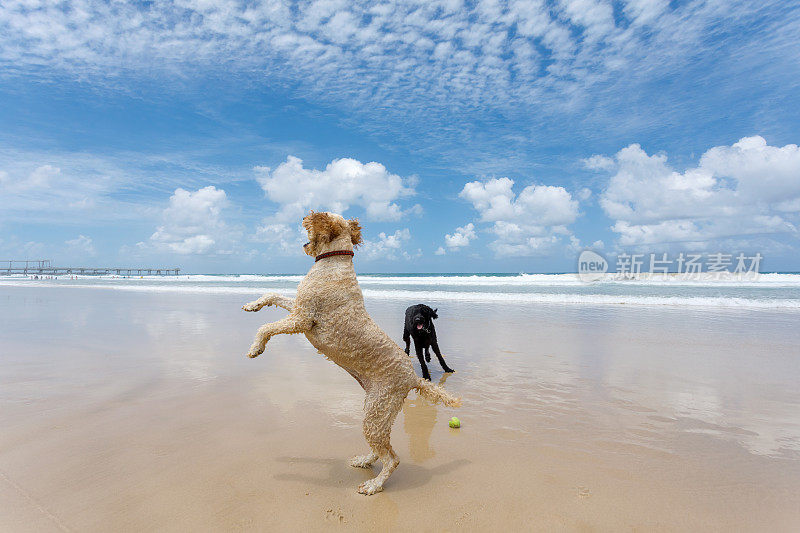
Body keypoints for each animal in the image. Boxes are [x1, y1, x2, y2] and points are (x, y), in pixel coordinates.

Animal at [241, 210, 460, 492]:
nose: (303, 217)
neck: (335, 260)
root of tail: (413, 378)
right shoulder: (299, 307)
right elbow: (272, 295)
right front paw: (252, 305)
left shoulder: (302, 319)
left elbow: (267, 327)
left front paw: (256, 346)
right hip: (377, 412)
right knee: (381, 449)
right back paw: (364, 461)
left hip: (376, 412)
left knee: (392, 458)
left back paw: (374, 485)